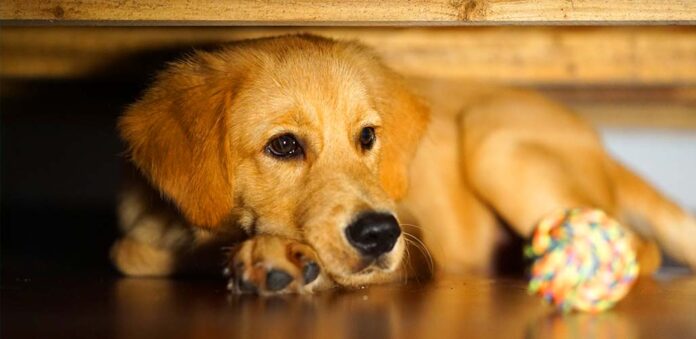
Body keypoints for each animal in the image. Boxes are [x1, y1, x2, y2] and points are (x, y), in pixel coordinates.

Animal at [110, 33, 696, 294]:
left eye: (368, 137)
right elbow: (133, 253)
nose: (378, 234)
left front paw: (275, 257)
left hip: (495, 143)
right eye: (283, 146)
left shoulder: (415, 247)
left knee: (637, 244)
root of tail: (601, 146)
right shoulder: (135, 234)